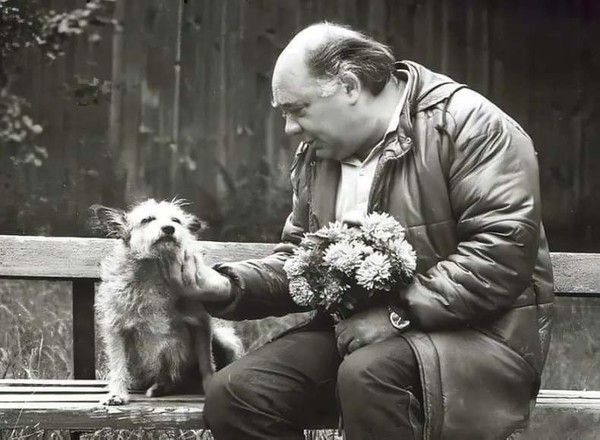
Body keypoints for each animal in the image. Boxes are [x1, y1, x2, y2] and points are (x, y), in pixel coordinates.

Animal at [91, 199, 244, 406]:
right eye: (147, 219)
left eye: (176, 220)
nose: (169, 228)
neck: (154, 270)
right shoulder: (117, 328)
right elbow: (118, 363)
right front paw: (116, 393)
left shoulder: (201, 324)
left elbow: (206, 362)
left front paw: (209, 384)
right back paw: (159, 387)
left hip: (224, 339)